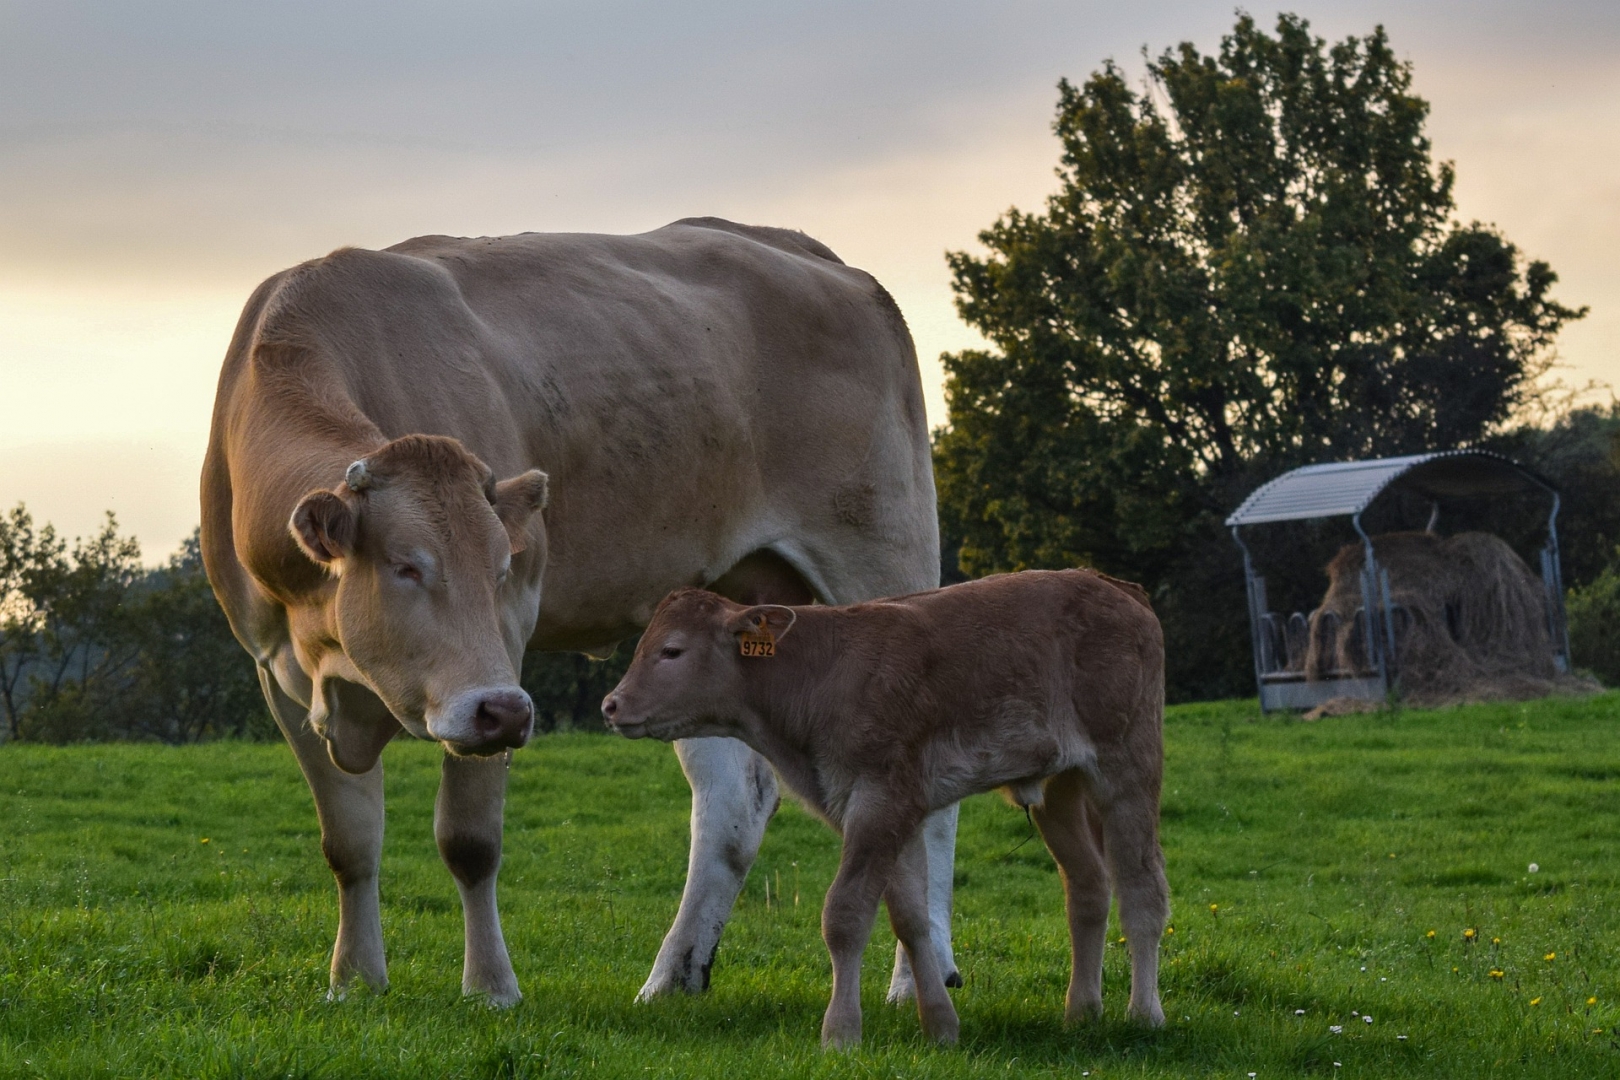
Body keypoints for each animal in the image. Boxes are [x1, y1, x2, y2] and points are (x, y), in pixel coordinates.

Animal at [199, 217, 958, 1007]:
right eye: (406, 565)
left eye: (504, 567)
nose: (502, 710)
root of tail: (811, 252)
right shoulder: (277, 673)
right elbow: (349, 843)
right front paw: (354, 981)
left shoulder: (502, 662)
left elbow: (470, 843)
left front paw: (491, 987)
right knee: (732, 804)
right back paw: (673, 976)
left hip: (885, 557)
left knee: (927, 798)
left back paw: (917, 980)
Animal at [600, 570, 1169, 1048]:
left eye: (672, 651)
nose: (611, 704)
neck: (821, 674)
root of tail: (1117, 587)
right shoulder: (886, 809)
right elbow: (911, 917)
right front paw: (940, 1025)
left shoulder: (880, 800)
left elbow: (846, 914)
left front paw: (840, 1032)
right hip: (1061, 787)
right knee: (1089, 888)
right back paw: (1082, 1010)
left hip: (1128, 765)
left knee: (1143, 891)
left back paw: (1144, 1014)